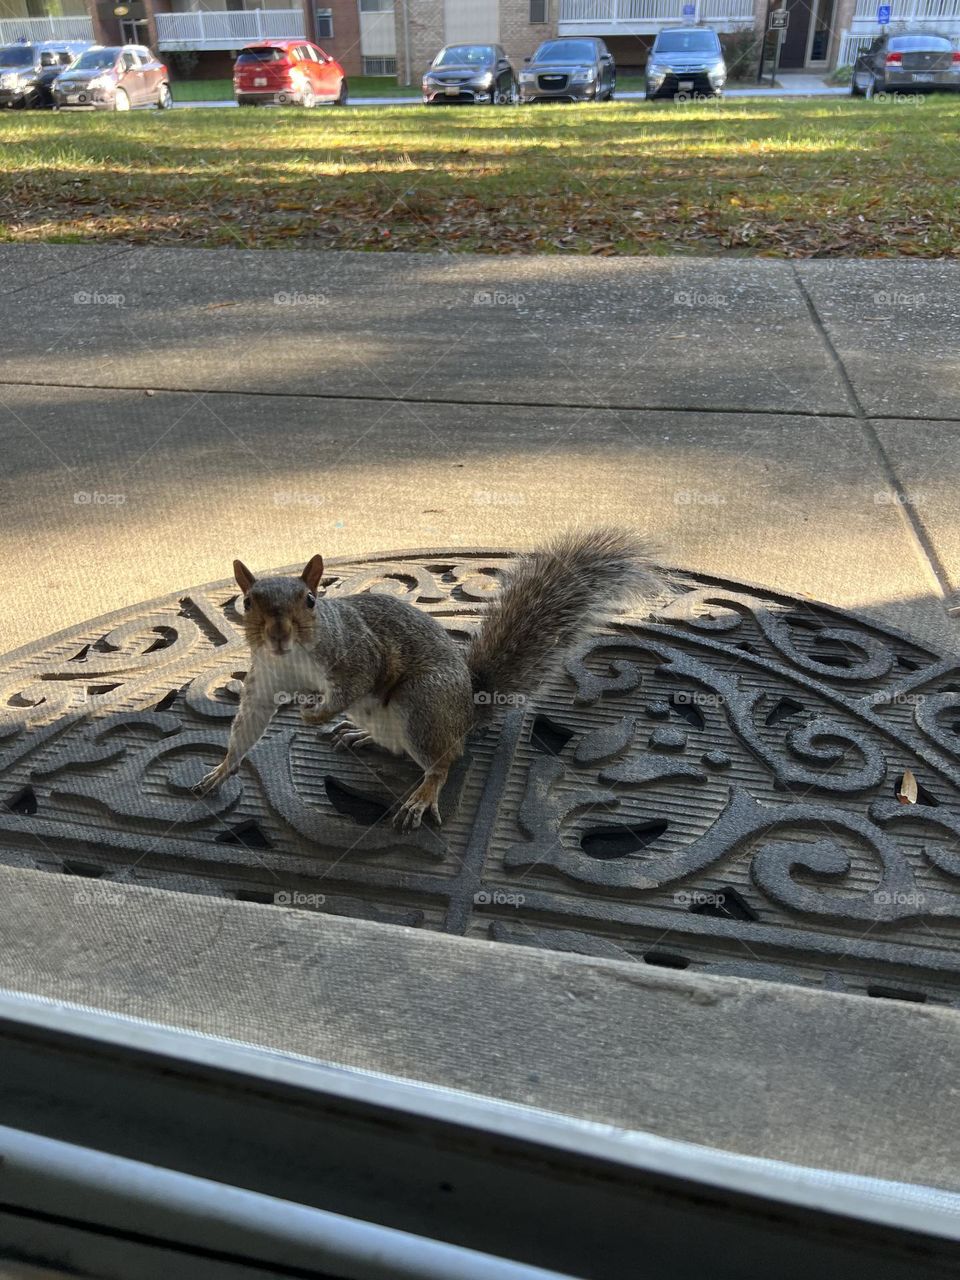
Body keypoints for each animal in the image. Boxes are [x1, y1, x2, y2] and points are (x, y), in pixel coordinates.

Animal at [192, 528, 665, 832]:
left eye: (310, 600)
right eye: (247, 602)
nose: (277, 634)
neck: (294, 658)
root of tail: (466, 713)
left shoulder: (359, 656)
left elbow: (352, 685)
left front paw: (314, 714)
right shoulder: (264, 680)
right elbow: (248, 725)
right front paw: (221, 770)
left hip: (423, 703)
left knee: (444, 760)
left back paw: (423, 794)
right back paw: (361, 736)